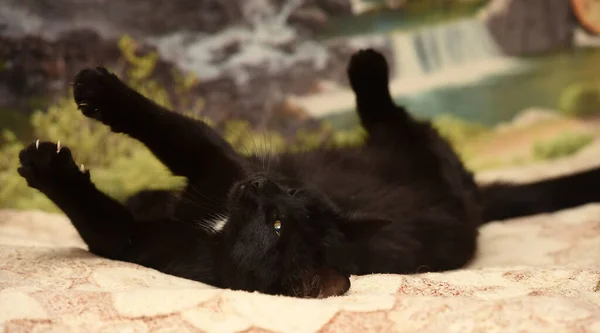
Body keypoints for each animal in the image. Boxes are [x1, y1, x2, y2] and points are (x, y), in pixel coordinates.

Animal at [16, 48, 600, 296]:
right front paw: (101, 95)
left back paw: (367, 65)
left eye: (277, 223)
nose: (260, 182)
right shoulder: (218, 166)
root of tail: (475, 196)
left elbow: (100, 216)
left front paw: (49, 162)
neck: (218, 227)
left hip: (423, 148)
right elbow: (175, 132)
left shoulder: (144, 245)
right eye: (292, 193)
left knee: (390, 112)